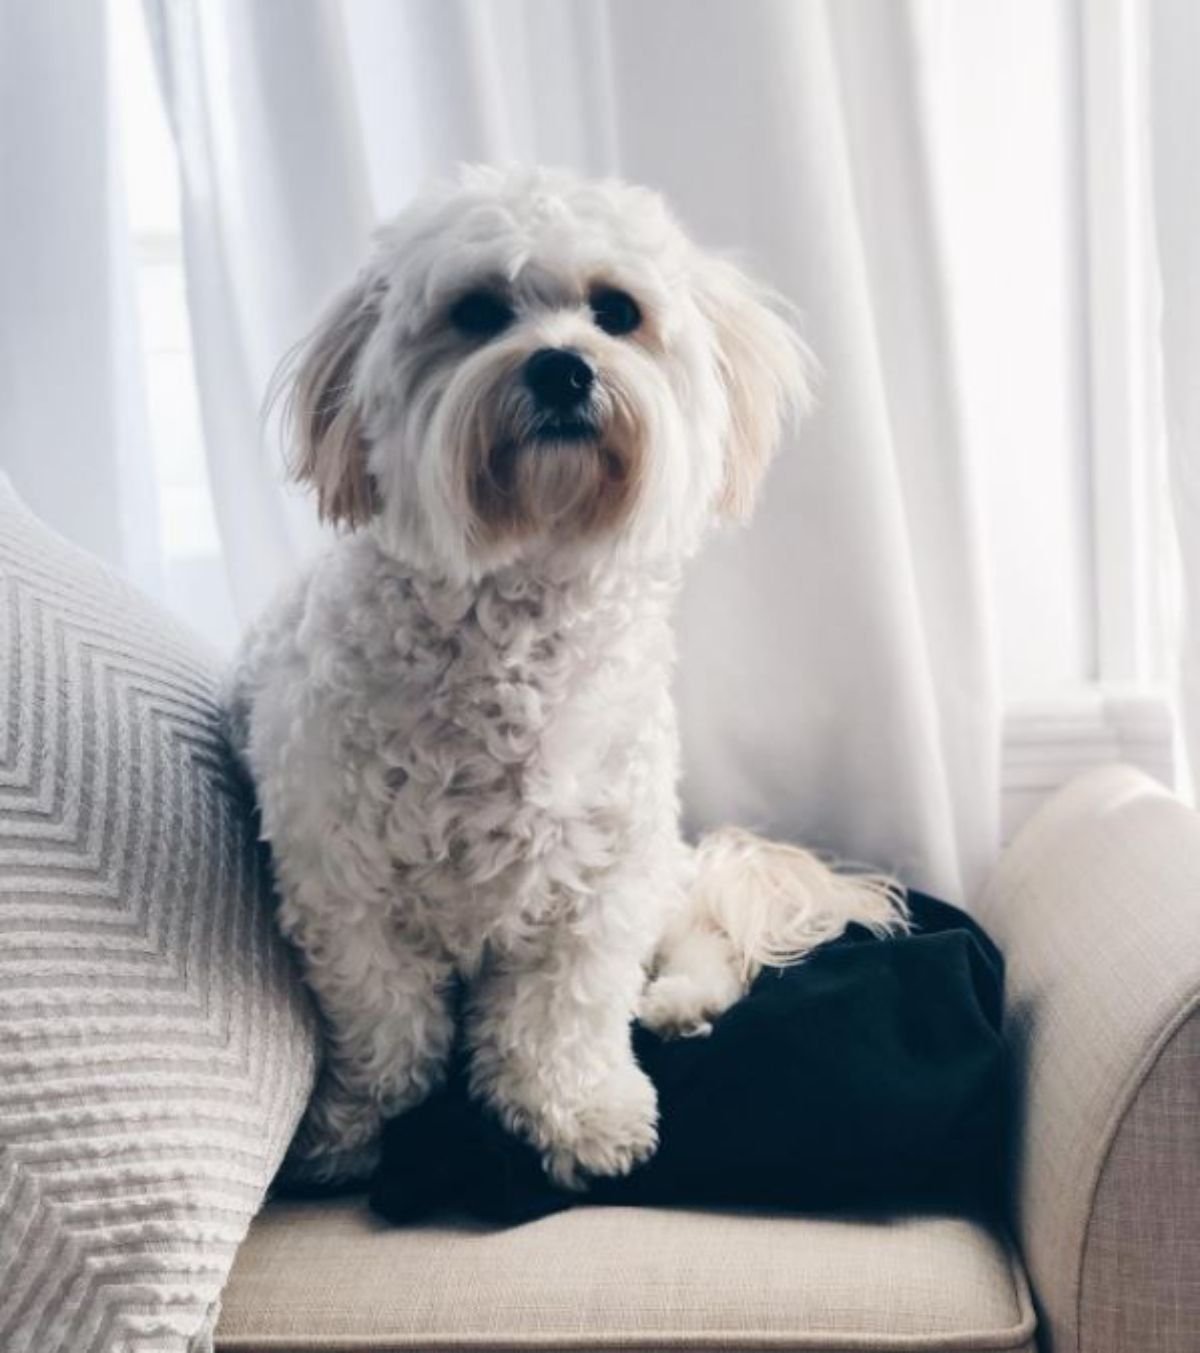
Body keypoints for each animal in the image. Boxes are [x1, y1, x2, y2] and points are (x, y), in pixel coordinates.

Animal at [227, 163, 898, 1190]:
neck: (515, 616)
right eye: (475, 311)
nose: (561, 367)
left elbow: (564, 1015)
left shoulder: (599, 880)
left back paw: (679, 1000)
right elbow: (386, 1018)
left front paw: (582, 1115)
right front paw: (351, 1123)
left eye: (616, 312)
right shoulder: (339, 879)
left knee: (701, 931)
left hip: (659, 863)